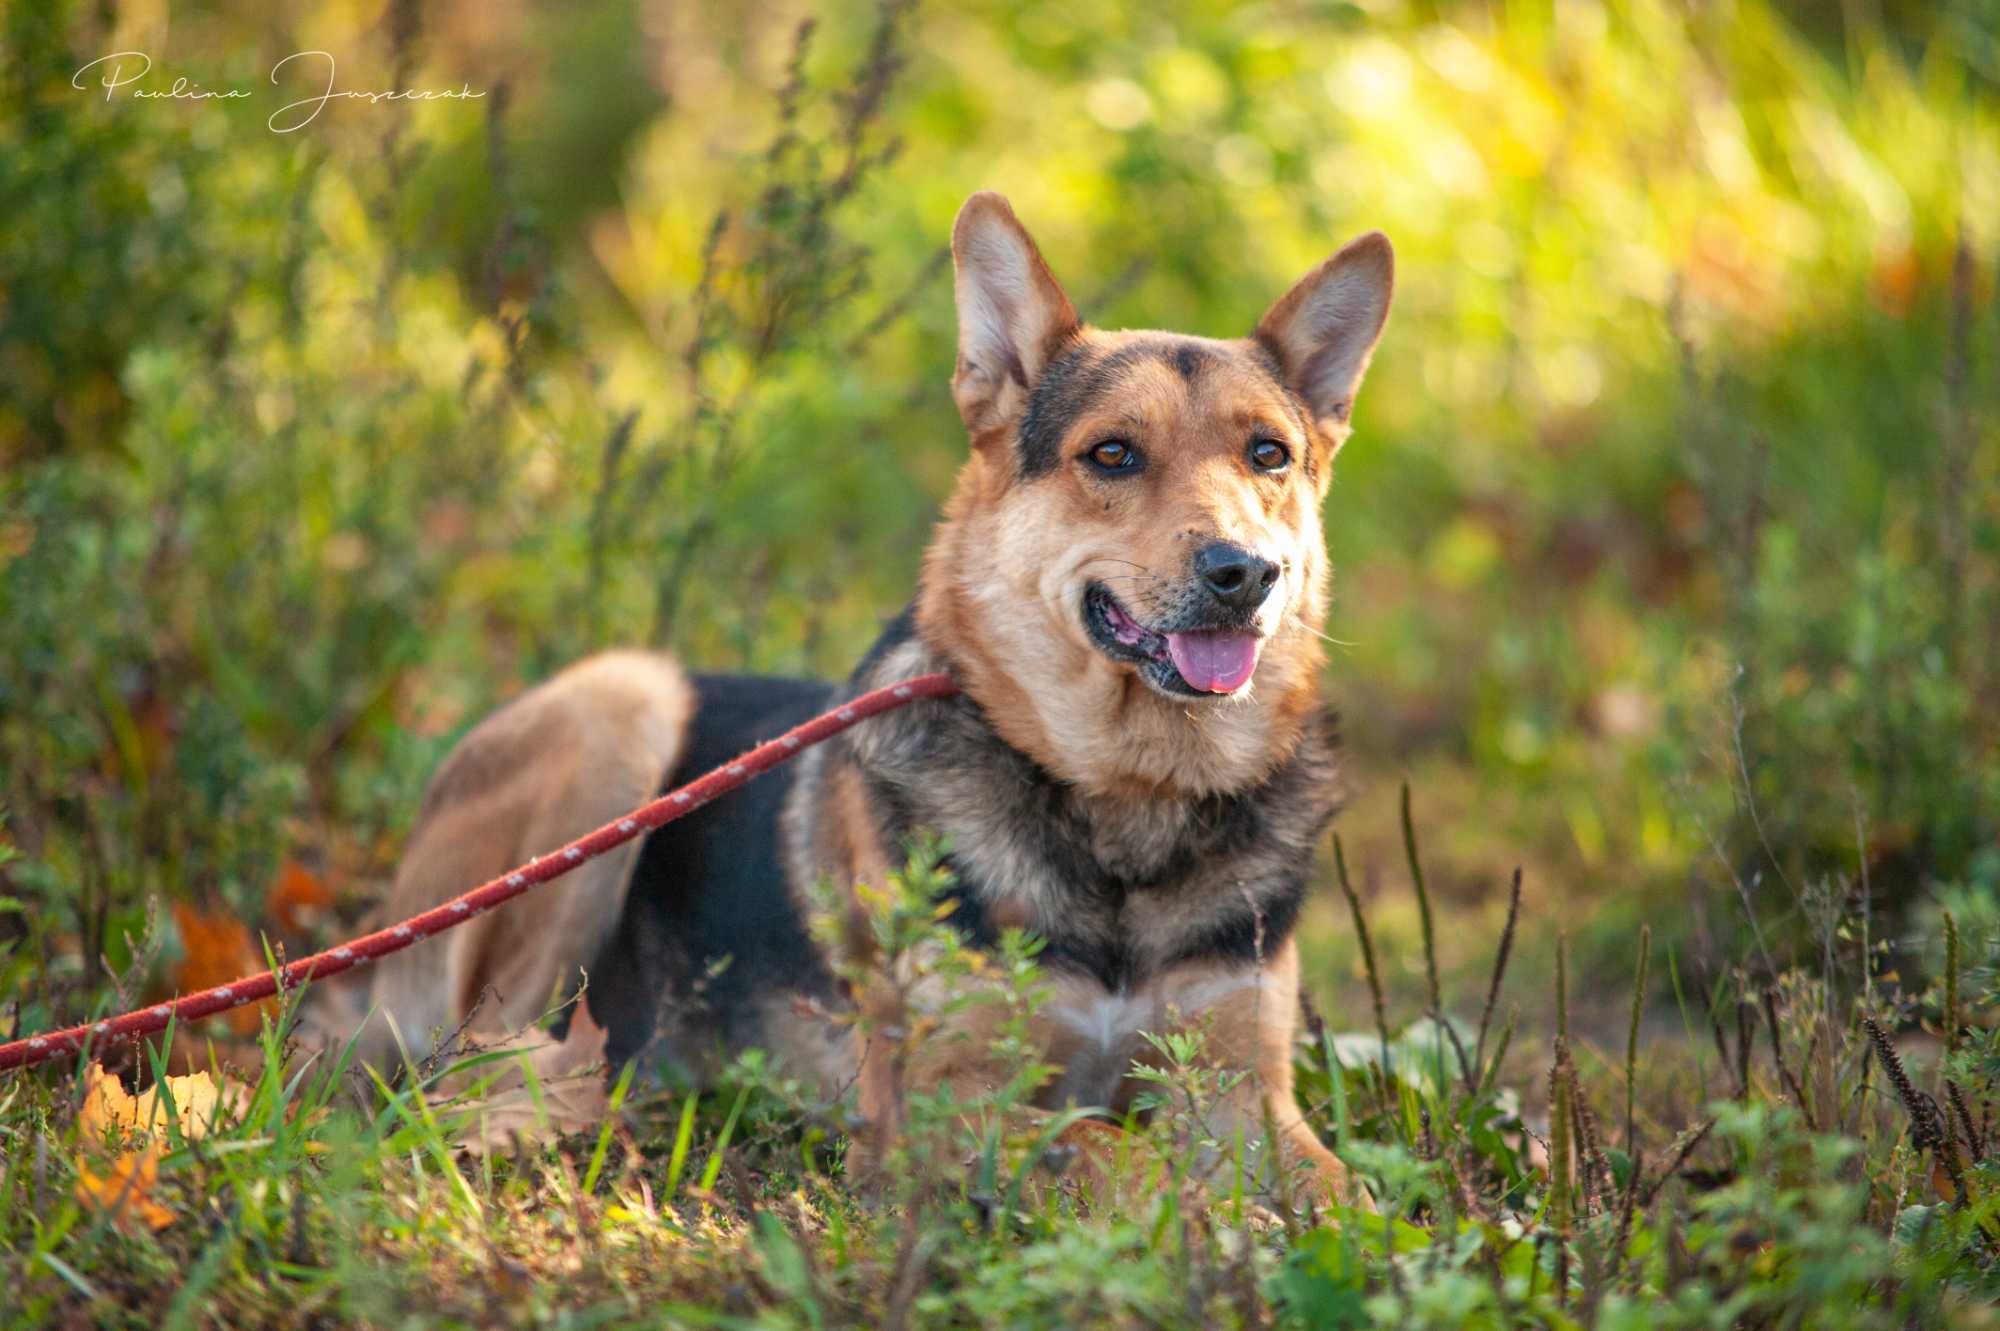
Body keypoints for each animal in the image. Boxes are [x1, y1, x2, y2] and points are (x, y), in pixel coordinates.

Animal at [316, 191, 1408, 1199]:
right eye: (1111, 454)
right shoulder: (945, 1094)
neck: (1126, 802)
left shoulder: (1241, 1094)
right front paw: (1207, 1220)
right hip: (617, 710)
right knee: (471, 1055)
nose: (1245, 572)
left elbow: (1338, 1188)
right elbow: (1111, 1148)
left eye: (1267, 455)